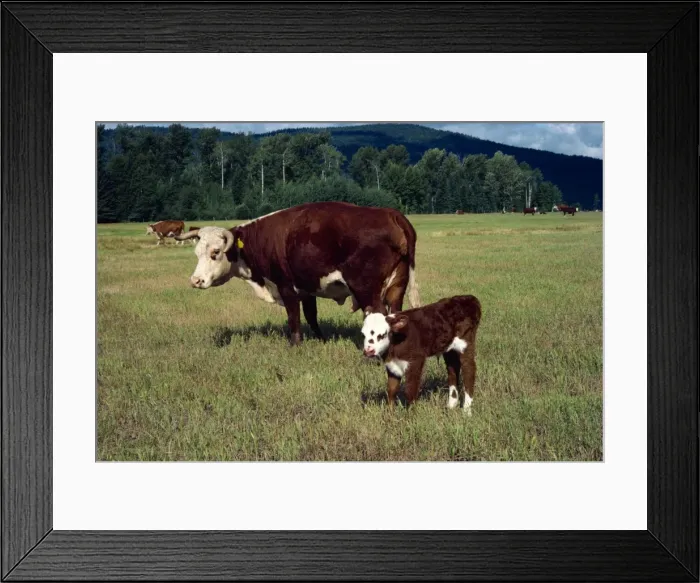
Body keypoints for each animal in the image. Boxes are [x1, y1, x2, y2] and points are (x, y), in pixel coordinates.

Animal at [175, 202, 420, 346]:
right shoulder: (307, 289)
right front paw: (320, 340)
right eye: (197, 252)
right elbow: (311, 316)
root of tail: (390, 213)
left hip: (367, 290)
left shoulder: (286, 286)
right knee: (396, 313)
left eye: (215, 252)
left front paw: (295, 344)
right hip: (397, 287)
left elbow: (293, 317)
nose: (195, 280)